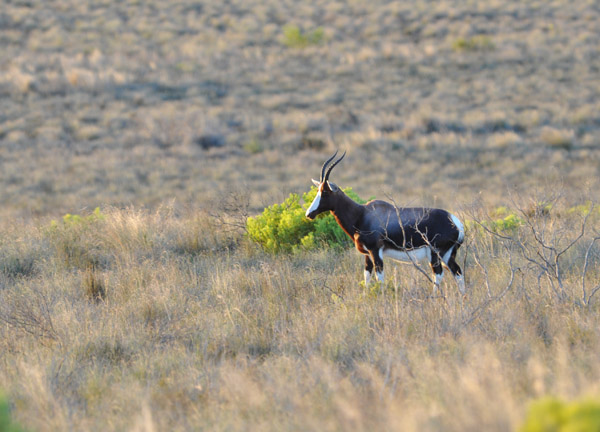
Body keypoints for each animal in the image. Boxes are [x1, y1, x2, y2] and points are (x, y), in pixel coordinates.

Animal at [308, 150, 466, 296]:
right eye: (318, 190)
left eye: (325, 192)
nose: (309, 214)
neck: (362, 214)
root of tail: (455, 222)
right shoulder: (367, 254)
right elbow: (367, 276)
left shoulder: (375, 251)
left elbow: (380, 278)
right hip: (448, 254)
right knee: (457, 271)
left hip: (436, 253)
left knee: (438, 273)